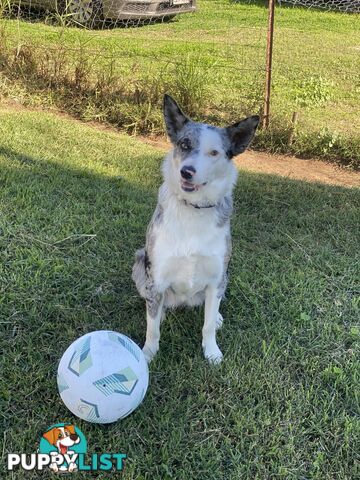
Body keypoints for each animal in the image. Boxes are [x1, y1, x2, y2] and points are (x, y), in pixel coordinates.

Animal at [132, 94, 258, 364]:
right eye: (185, 144)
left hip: (224, 277)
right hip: (139, 262)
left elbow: (207, 324)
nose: (187, 172)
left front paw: (212, 352)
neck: (194, 208)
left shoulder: (216, 276)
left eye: (214, 152)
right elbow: (152, 328)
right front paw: (147, 354)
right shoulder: (157, 275)